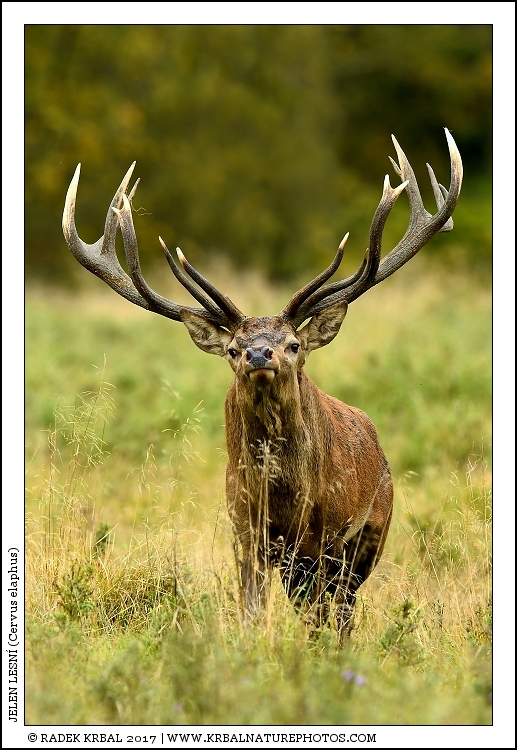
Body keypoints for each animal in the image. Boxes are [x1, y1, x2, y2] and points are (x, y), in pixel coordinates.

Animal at [63, 129, 462, 641]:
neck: (283, 497)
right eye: (234, 348)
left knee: (343, 610)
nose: (258, 354)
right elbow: (252, 610)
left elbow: (319, 615)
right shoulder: (244, 528)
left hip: (371, 533)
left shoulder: (323, 536)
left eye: (292, 343)